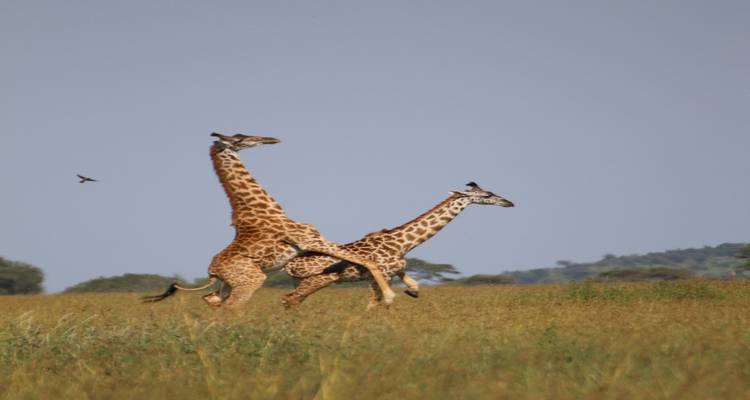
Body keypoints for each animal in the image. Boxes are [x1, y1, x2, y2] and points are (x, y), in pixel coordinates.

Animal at [143, 132, 396, 308]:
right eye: (240, 137)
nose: (270, 139)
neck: (269, 208)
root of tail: (211, 271)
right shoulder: (310, 240)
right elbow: (366, 259)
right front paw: (389, 296)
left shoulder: (307, 247)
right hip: (252, 280)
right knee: (231, 307)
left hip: (231, 283)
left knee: (213, 300)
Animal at [280, 182, 514, 309]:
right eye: (487, 194)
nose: (509, 203)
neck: (403, 244)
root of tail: (289, 264)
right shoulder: (379, 276)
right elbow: (378, 302)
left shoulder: (397, 272)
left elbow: (413, 287)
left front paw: (411, 293)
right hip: (319, 280)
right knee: (290, 299)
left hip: (304, 281)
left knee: (292, 300)